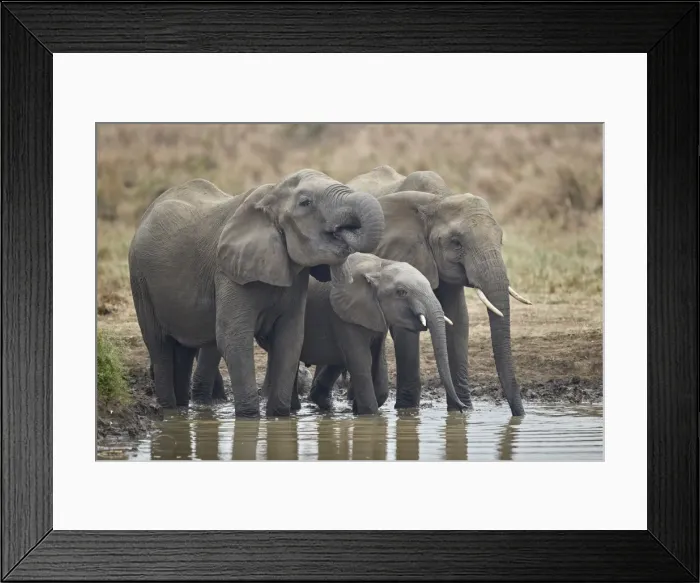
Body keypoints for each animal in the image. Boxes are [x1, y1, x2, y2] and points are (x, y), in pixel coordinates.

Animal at [128, 169, 385, 417]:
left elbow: (291, 338)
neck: (271, 196)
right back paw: (169, 408)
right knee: (159, 345)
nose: (343, 232)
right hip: (139, 278)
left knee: (183, 349)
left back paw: (182, 409)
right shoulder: (228, 271)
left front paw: (279, 415)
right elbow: (233, 337)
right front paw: (249, 416)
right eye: (305, 203)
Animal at [327, 165, 531, 417]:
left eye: (501, 240)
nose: (519, 414)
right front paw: (407, 411)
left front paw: (463, 411)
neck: (438, 199)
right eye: (456, 243)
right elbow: (405, 328)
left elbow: (458, 319)